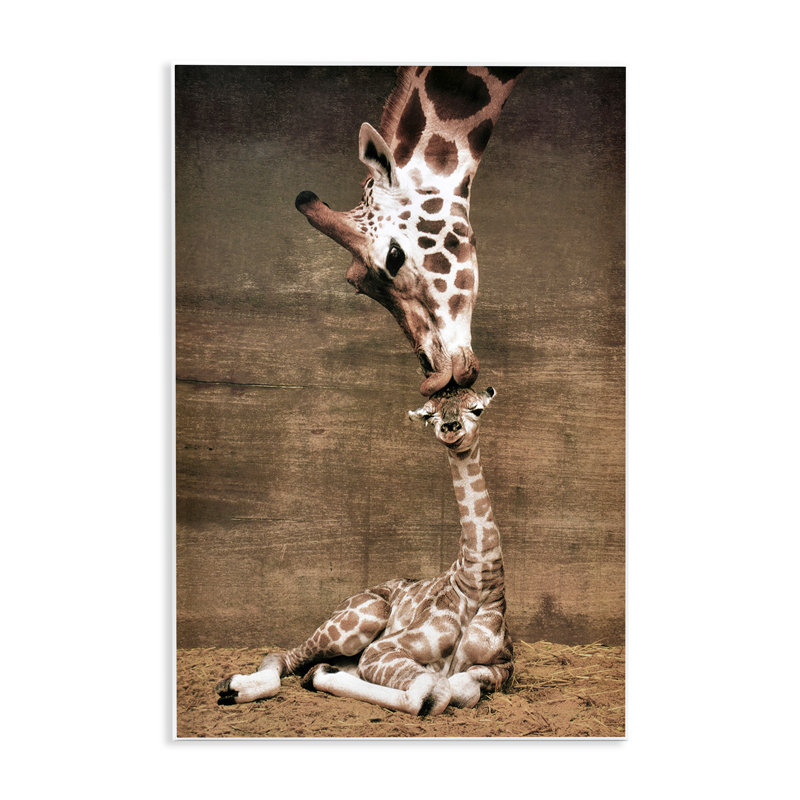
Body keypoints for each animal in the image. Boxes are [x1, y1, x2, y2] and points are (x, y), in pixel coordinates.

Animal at [216, 385, 512, 715]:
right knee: (282, 656)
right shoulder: (381, 649)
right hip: (362, 618)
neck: (478, 581)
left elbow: (463, 688)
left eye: (477, 409)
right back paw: (232, 687)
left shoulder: (503, 666)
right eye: (429, 416)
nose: (450, 428)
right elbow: (433, 692)